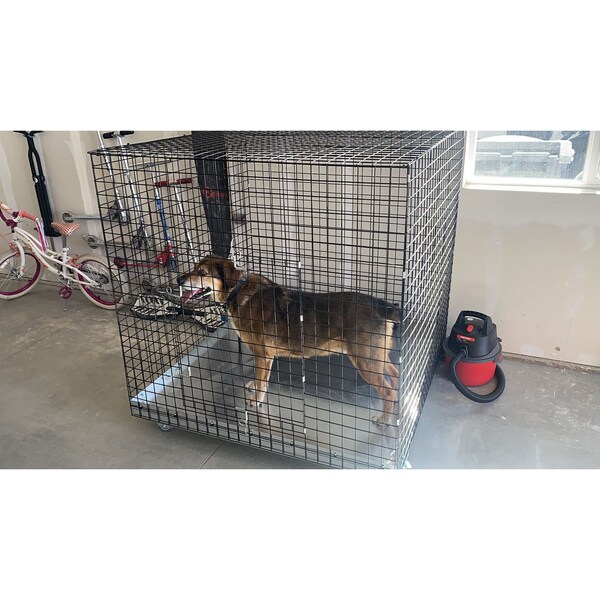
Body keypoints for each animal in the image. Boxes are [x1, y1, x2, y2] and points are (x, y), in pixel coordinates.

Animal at [177, 256, 401, 425]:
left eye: (202, 273)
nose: (179, 279)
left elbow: (262, 381)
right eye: (194, 267)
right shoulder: (264, 357)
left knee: (387, 392)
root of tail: (381, 305)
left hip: (365, 361)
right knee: (395, 375)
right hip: (377, 357)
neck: (237, 291)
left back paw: (384, 419)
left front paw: (256, 400)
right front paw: (254, 386)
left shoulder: (262, 354)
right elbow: (261, 379)